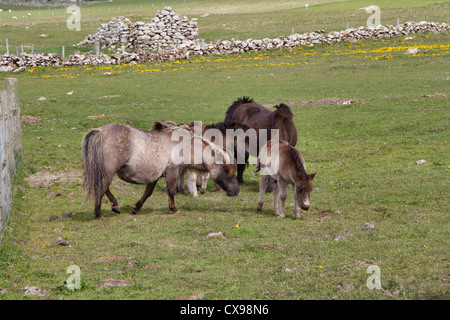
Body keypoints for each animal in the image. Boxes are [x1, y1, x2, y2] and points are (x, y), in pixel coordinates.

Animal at [82, 121, 241, 219]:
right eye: (227, 171)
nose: (236, 190)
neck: (182, 145)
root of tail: (99, 132)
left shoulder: (155, 176)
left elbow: (148, 192)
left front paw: (136, 208)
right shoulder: (172, 172)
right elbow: (171, 191)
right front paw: (173, 208)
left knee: (104, 188)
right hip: (108, 172)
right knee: (102, 188)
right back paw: (101, 212)